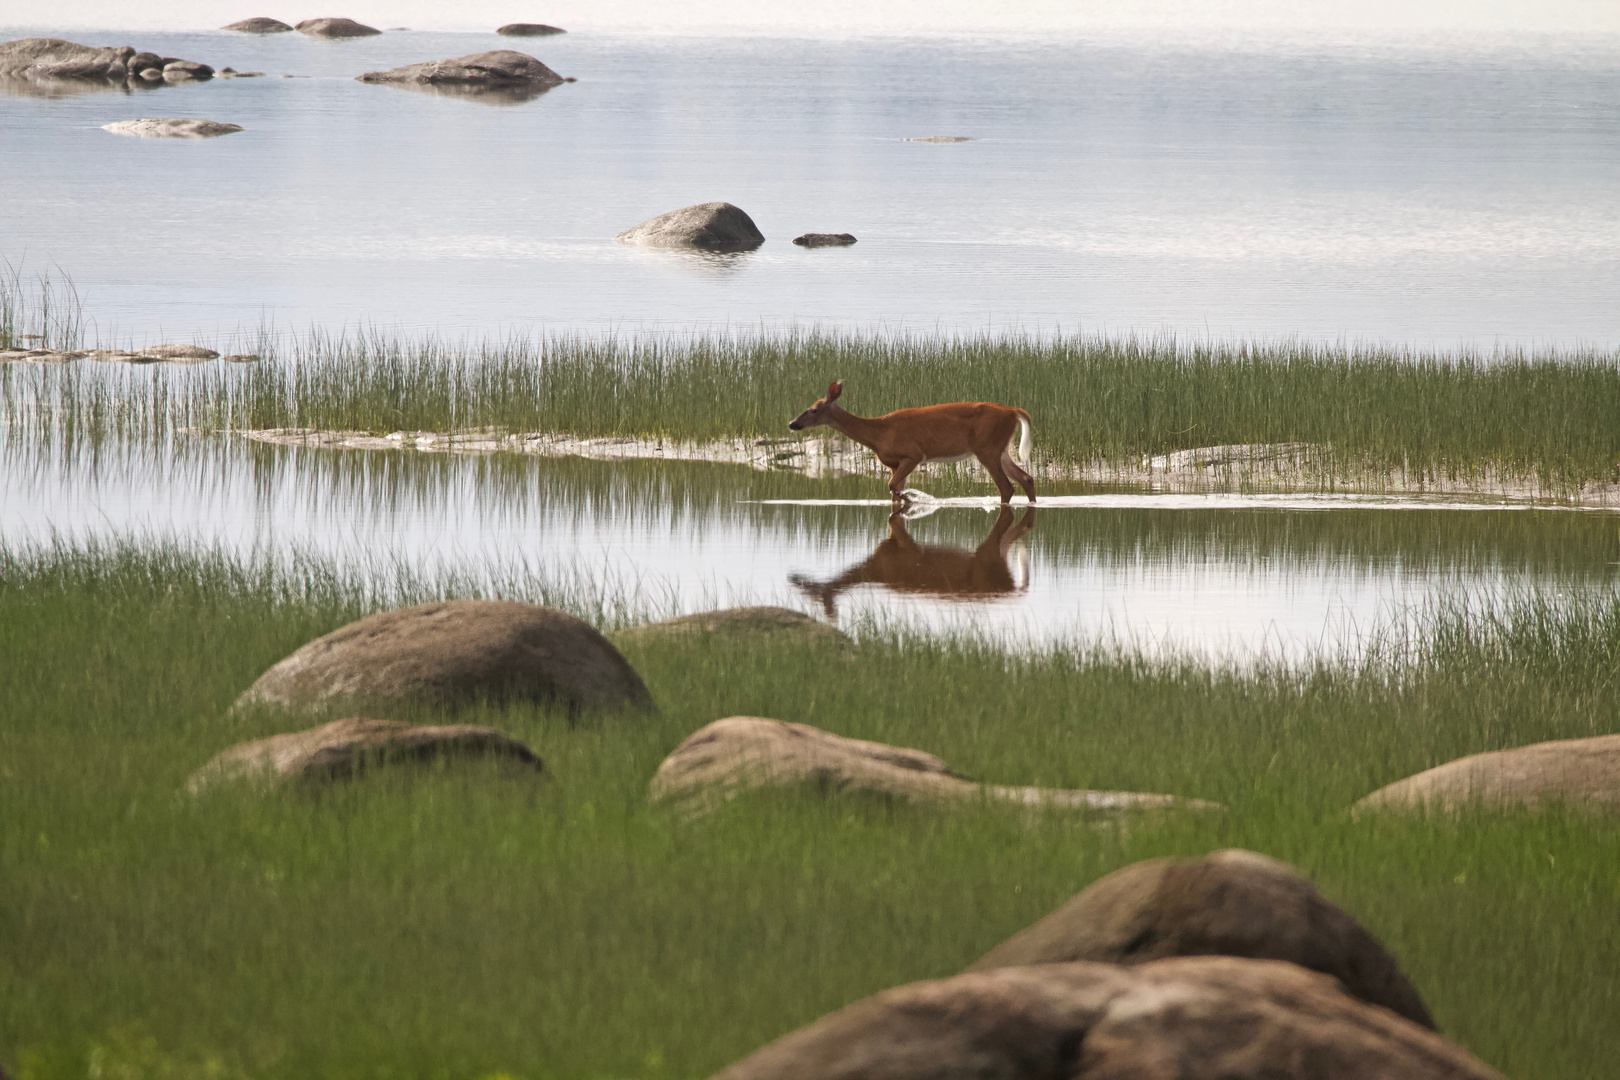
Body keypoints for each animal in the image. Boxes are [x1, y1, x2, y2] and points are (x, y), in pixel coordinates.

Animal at [787, 380, 1036, 508]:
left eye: (813, 409)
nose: (792, 424)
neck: (878, 435)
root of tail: (1013, 411)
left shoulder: (913, 454)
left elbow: (891, 486)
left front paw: (916, 500)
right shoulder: (894, 464)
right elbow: (893, 489)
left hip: (987, 448)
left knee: (1007, 486)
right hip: (999, 449)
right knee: (1026, 478)